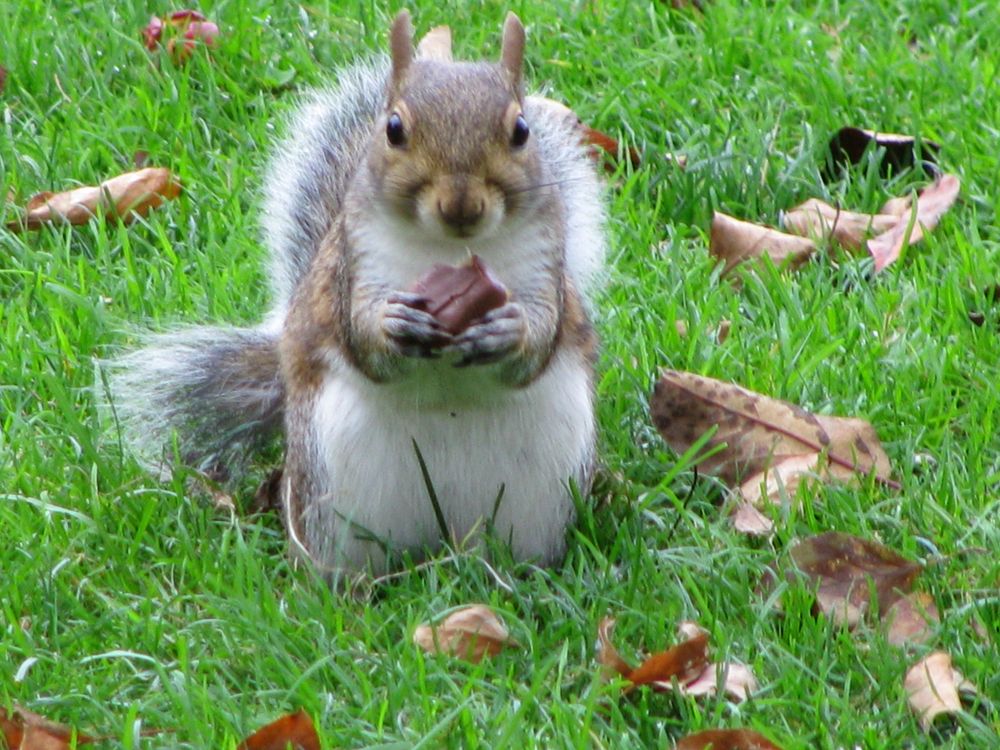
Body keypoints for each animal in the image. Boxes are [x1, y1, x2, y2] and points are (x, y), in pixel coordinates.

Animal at [110, 10, 608, 576]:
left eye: (522, 131)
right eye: (393, 129)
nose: (461, 206)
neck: (450, 251)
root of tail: (438, 537)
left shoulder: (545, 271)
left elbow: (539, 341)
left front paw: (508, 329)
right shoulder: (350, 271)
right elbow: (361, 340)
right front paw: (394, 325)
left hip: (536, 501)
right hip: (334, 498)